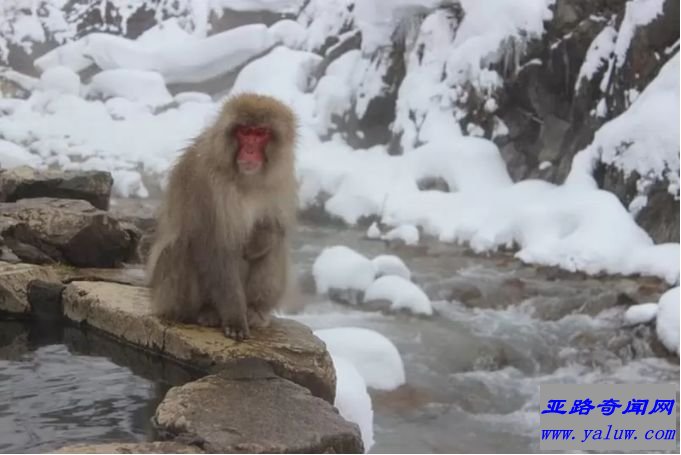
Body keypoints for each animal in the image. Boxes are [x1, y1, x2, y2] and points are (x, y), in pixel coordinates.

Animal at [147, 92, 296, 340]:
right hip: (167, 293)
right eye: (244, 132)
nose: (249, 151)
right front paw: (235, 318)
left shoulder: (281, 180)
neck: (244, 179)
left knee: (275, 248)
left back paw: (255, 310)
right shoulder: (204, 182)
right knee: (182, 245)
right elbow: (215, 247)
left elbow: (274, 227)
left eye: (260, 133)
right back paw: (203, 312)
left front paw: (259, 240)